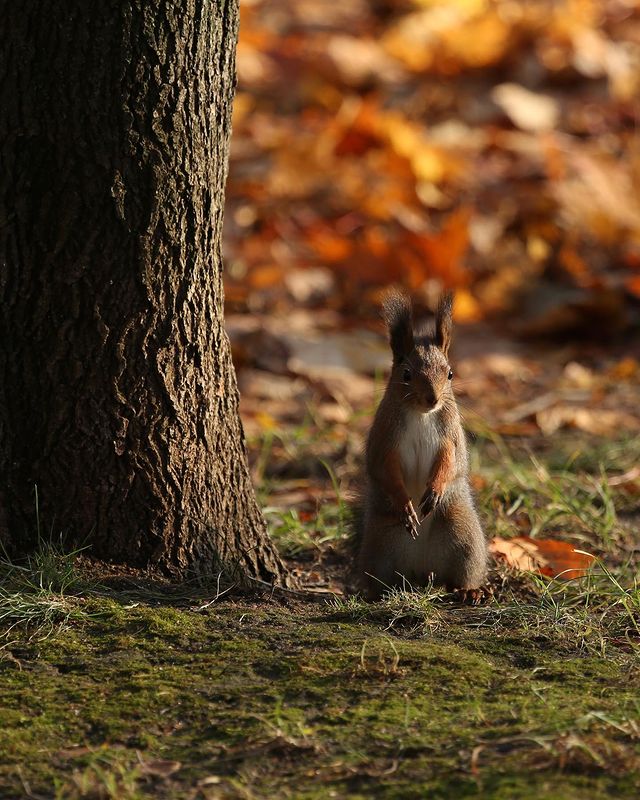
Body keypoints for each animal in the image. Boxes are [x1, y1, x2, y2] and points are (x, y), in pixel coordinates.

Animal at [355, 291, 488, 602]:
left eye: (450, 374)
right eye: (406, 374)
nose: (433, 399)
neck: (421, 414)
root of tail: (422, 571)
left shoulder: (450, 436)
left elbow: (450, 461)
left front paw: (435, 489)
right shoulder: (384, 438)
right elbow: (385, 469)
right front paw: (405, 503)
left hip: (463, 534)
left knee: (460, 574)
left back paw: (469, 591)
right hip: (381, 543)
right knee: (382, 576)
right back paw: (378, 592)